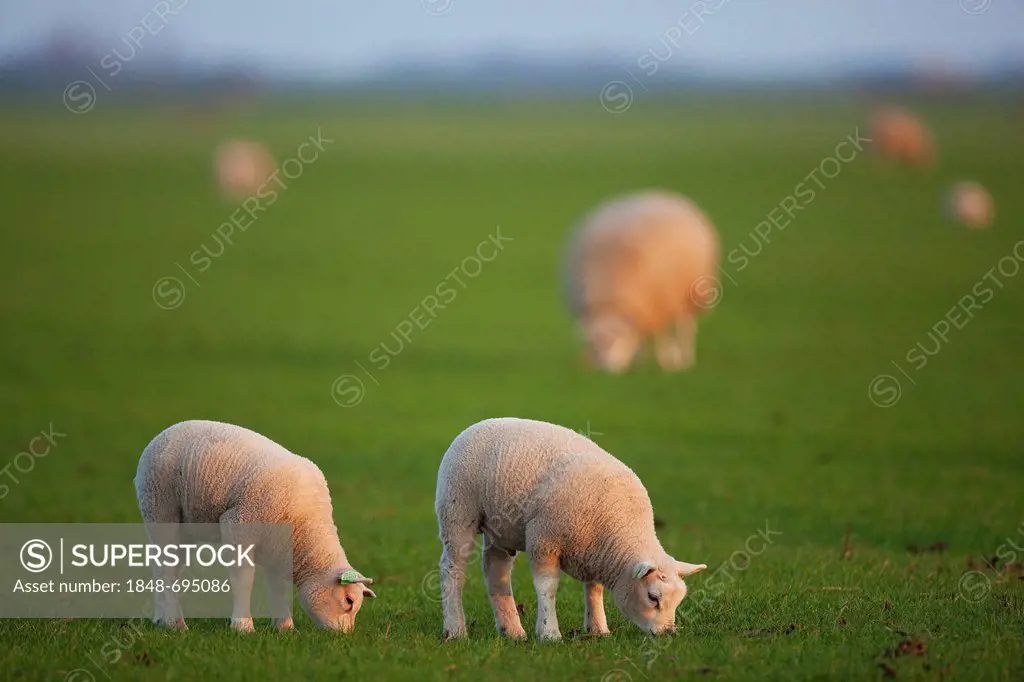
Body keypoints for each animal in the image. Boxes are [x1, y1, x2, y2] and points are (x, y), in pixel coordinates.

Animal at [134, 419, 376, 630]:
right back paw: (174, 623)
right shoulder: (239, 525)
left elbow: (278, 588)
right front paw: (243, 626)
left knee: (168, 567)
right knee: (165, 568)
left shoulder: (278, 548)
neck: (305, 532)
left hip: (186, 526)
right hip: (159, 506)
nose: (344, 636)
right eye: (349, 600)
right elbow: (243, 580)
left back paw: (161, 618)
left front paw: (285, 627)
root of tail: (164, 432)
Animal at [432, 413, 704, 638]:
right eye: (653, 597)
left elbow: (594, 589)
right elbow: (547, 588)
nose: (667, 633)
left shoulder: (595, 552)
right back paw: (455, 630)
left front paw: (598, 629)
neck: (619, 529)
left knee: (495, 570)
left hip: (501, 528)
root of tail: (477, 425)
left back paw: (513, 631)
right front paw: (549, 633)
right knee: (452, 569)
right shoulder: (544, 539)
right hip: (457, 511)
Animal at [565, 188, 724, 372]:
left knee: (685, 327)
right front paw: (639, 365)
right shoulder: (640, 308)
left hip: (690, 293)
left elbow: (662, 337)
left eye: (619, 339)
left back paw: (685, 359)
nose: (608, 369)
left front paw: (667, 362)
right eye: (595, 344)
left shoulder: (658, 303)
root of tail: (660, 193)